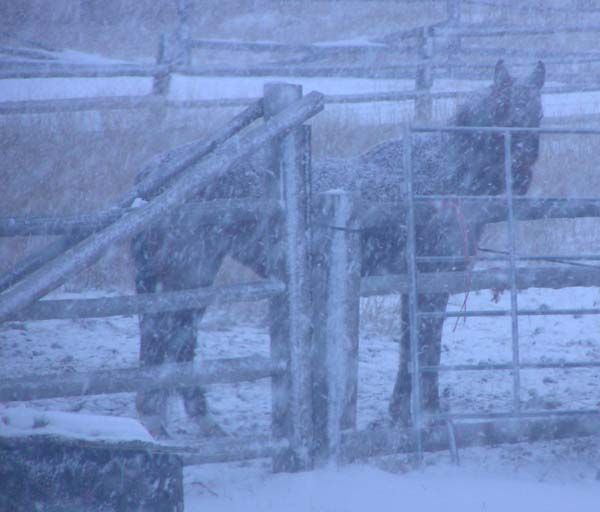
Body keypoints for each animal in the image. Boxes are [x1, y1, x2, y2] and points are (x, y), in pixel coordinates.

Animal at [131, 60, 544, 436]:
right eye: (503, 106)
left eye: (538, 111)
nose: (522, 173)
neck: (443, 177)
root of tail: (153, 173)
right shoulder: (432, 281)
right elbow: (426, 347)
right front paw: (429, 416)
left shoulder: (410, 283)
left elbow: (410, 348)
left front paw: (398, 416)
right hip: (190, 269)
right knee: (165, 336)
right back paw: (164, 422)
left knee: (177, 339)